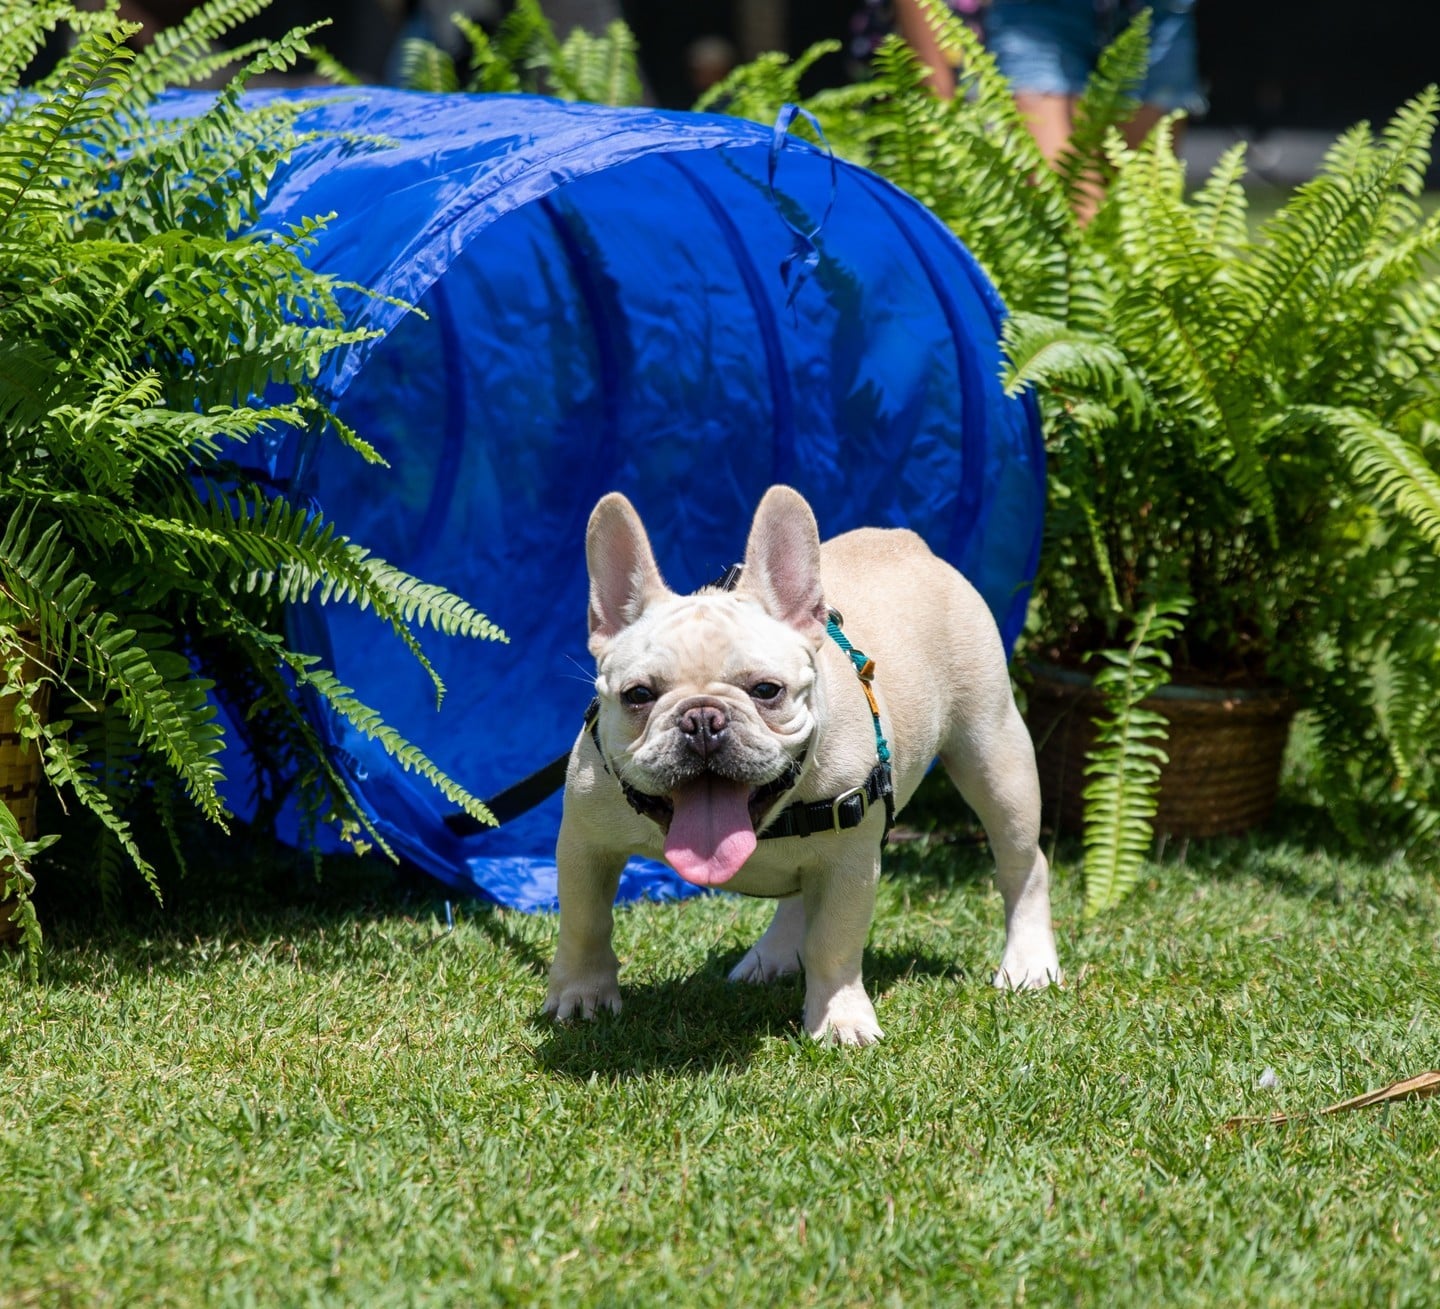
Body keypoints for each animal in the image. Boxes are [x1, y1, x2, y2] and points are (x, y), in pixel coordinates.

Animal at [541, 480, 1059, 1042]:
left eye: (767, 690)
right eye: (638, 695)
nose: (702, 720)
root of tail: (907, 540)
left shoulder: (850, 865)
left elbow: (832, 942)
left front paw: (840, 1019)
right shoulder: (586, 845)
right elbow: (585, 922)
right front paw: (583, 994)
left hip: (994, 753)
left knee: (1023, 862)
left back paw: (1029, 962)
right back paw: (770, 956)